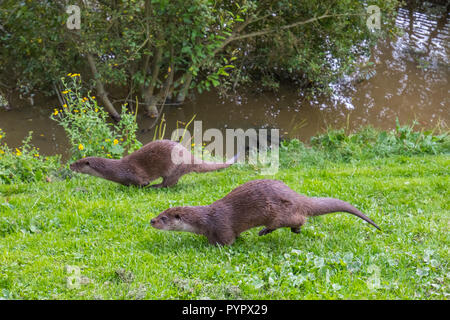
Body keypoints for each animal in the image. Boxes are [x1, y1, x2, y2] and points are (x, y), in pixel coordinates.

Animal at [151, 180, 380, 245]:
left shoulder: (221, 226)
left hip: (280, 211)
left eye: (164, 218)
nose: (152, 221)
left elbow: (227, 241)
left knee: (297, 219)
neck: (205, 220)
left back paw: (267, 231)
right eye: (159, 213)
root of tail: (296, 195)